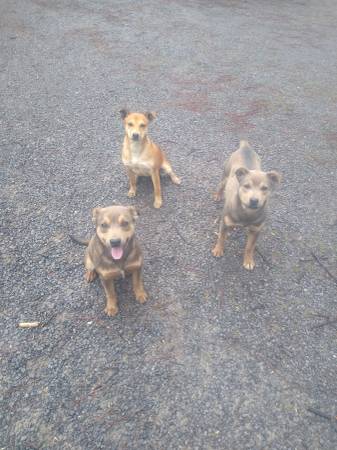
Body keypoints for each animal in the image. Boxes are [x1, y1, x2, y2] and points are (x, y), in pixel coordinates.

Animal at [211, 140, 280, 270]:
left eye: (264, 188)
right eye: (246, 186)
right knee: (220, 186)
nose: (254, 200)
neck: (246, 213)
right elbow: (221, 238)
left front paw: (248, 260)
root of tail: (245, 146)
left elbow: (250, 247)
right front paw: (218, 250)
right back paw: (217, 195)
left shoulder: (256, 230)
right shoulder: (225, 223)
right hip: (225, 175)